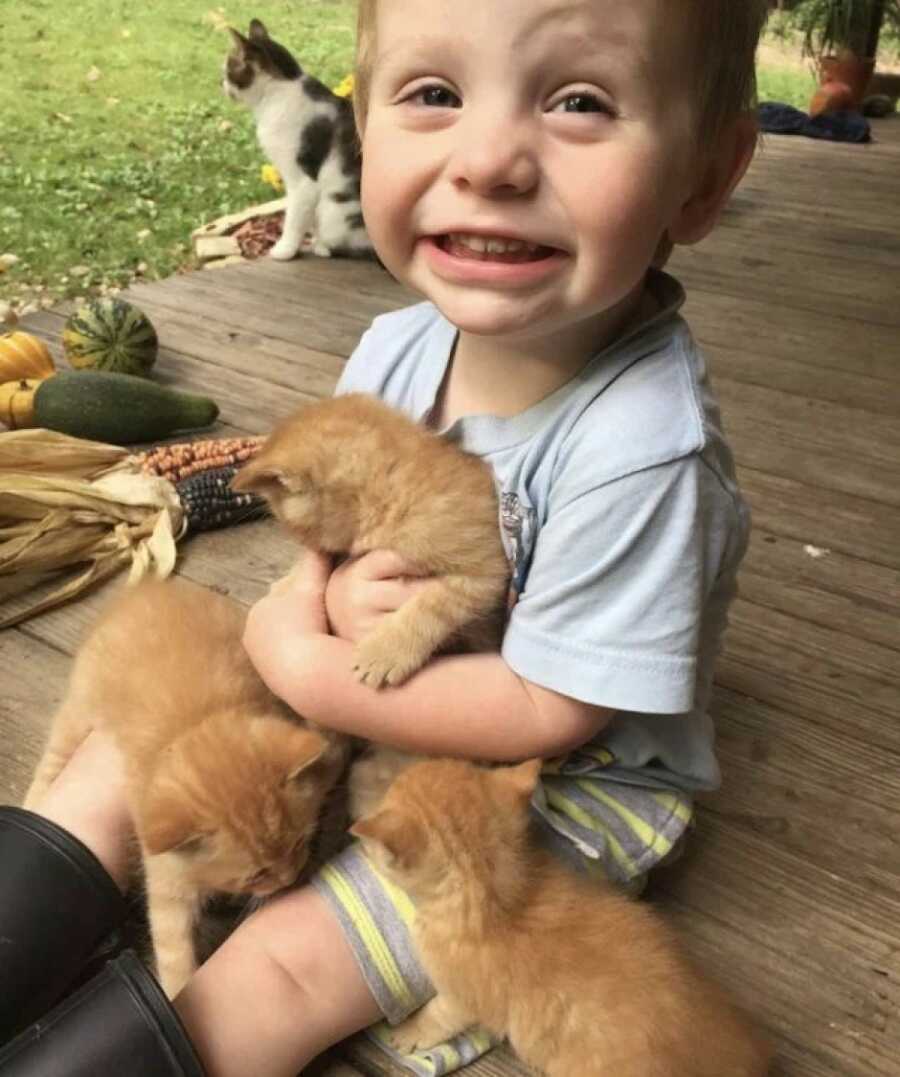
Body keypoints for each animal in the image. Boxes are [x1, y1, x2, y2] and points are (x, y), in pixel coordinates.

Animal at [23, 577, 348, 995]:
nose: (289, 878)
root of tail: (145, 590)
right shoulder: (165, 872)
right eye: (256, 876)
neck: (195, 723)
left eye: (297, 845)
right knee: (53, 758)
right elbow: (173, 949)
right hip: (78, 713)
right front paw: (179, 994)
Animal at [225, 18, 372, 260]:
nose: (223, 85)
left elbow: (294, 218)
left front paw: (284, 249)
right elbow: (306, 218)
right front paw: (311, 242)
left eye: (228, 68)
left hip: (336, 211)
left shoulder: (303, 180)